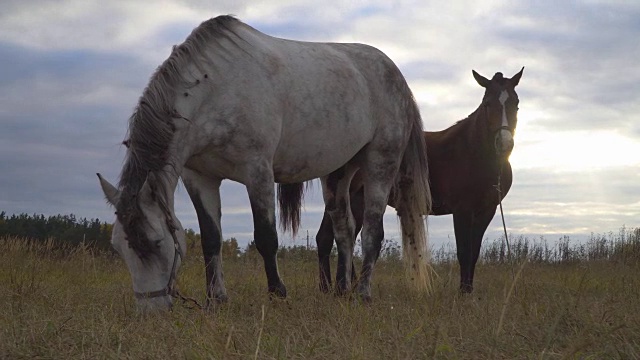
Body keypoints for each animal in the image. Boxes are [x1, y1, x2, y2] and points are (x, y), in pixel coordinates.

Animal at [97, 14, 432, 312]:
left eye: (156, 242)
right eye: (118, 247)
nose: (150, 311)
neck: (215, 91)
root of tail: (397, 77)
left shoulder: (257, 171)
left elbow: (266, 237)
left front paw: (278, 295)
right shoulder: (199, 177)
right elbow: (211, 239)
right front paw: (215, 300)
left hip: (380, 164)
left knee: (373, 233)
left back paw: (362, 294)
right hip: (338, 173)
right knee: (345, 231)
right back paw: (340, 292)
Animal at [312, 67, 524, 292]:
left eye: (516, 104)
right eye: (487, 104)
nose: (504, 144)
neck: (474, 152)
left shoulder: (486, 211)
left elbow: (474, 253)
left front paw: (468, 290)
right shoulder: (462, 211)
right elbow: (464, 252)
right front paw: (462, 292)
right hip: (352, 197)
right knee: (331, 237)